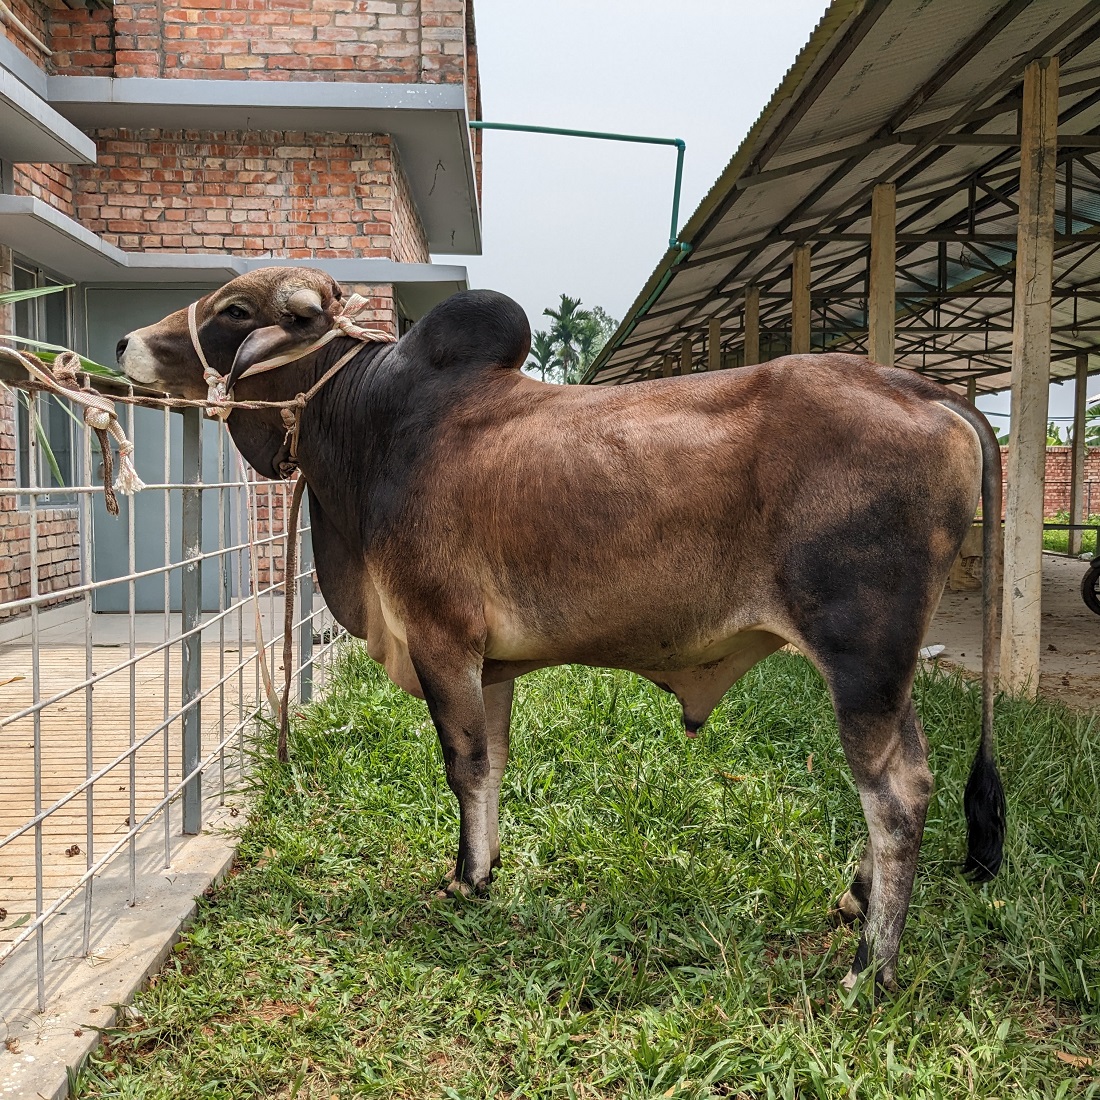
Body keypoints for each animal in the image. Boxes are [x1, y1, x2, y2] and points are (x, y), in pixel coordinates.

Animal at [118, 266, 1007, 990]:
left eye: (234, 309)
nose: (125, 341)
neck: (369, 424)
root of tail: (922, 389)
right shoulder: (489, 665)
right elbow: (494, 763)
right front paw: (487, 864)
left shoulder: (440, 638)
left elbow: (464, 765)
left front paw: (465, 878)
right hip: (887, 673)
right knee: (909, 781)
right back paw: (856, 903)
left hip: (861, 656)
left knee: (894, 796)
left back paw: (871, 967)